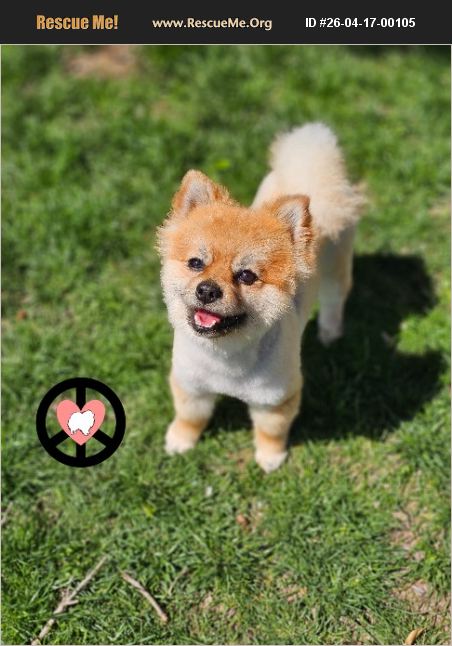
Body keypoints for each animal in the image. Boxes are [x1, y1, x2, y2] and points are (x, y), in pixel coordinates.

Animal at [157, 123, 365, 472]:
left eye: (246, 276)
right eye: (196, 263)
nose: (207, 289)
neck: (225, 358)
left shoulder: (276, 398)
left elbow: (271, 431)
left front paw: (270, 459)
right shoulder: (191, 385)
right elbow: (190, 417)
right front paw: (180, 441)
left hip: (336, 266)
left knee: (335, 299)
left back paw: (330, 332)